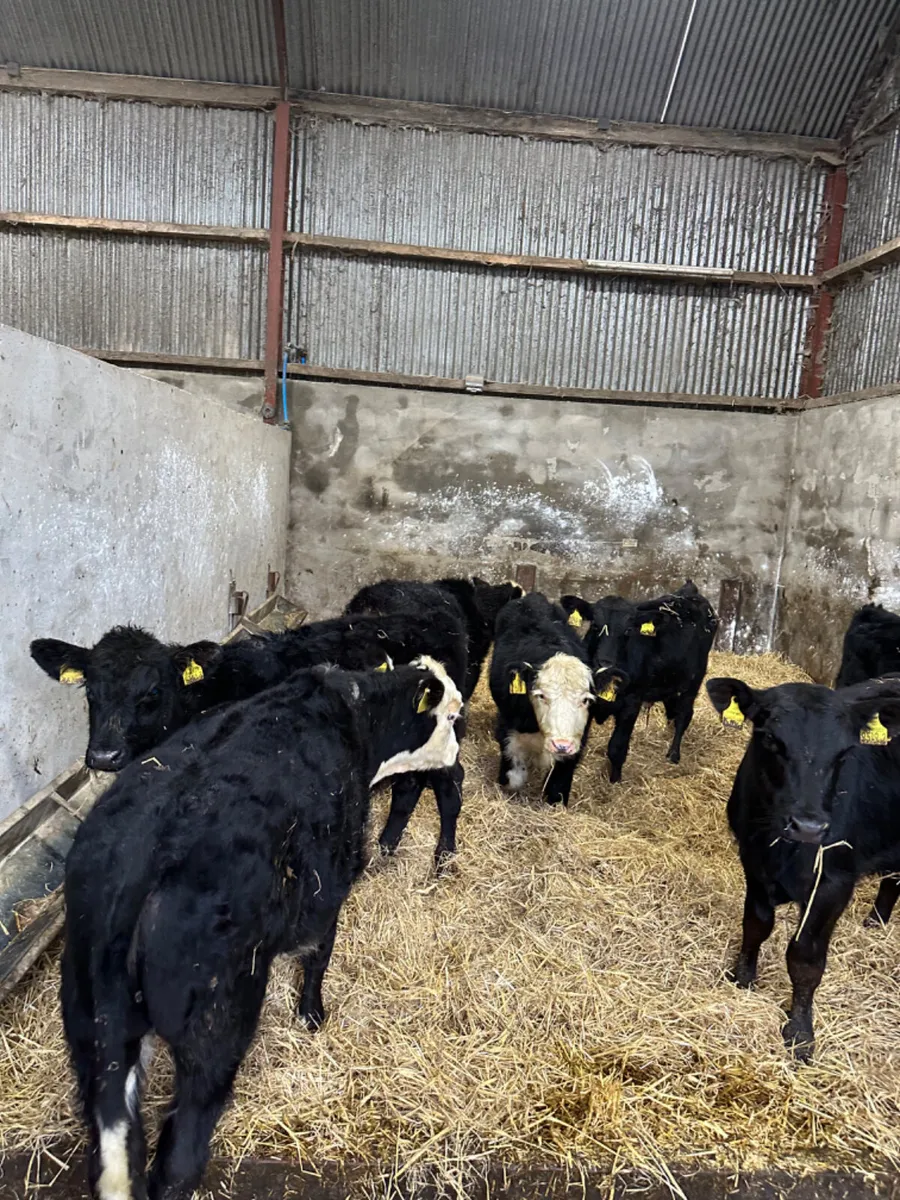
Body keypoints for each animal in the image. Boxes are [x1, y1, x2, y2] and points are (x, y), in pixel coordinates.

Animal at [31, 610, 467, 865]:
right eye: (90, 691)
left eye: (151, 692)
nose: (104, 755)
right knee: (409, 785)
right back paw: (387, 845)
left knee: (449, 783)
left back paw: (443, 857)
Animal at [62, 658, 462, 1200]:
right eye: (450, 715)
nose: (457, 755)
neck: (354, 716)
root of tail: (134, 870)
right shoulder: (330, 884)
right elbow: (318, 955)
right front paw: (312, 1015)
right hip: (217, 1026)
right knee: (179, 1159)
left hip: (95, 1030)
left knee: (115, 1159)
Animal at [489, 592, 611, 806]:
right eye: (541, 696)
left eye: (586, 700)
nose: (561, 745)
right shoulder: (506, 727)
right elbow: (514, 777)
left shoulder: (577, 742)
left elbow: (557, 787)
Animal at [561, 581, 718, 783]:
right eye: (595, 626)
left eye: (628, 631)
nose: (605, 662)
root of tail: (690, 591)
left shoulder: (632, 703)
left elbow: (617, 747)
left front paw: (614, 781)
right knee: (672, 712)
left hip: (693, 681)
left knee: (684, 714)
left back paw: (673, 755)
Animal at [706, 673, 900, 1061]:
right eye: (770, 738)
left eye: (845, 752)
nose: (808, 826)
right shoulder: (753, 863)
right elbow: (756, 926)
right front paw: (742, 978)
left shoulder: (833, 883)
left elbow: (805, 959)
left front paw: (799, 1032)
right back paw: (876, 922)